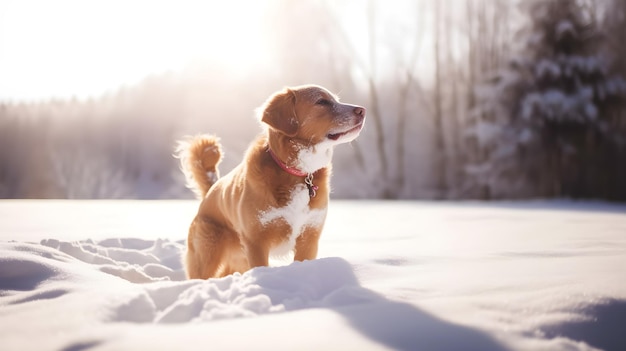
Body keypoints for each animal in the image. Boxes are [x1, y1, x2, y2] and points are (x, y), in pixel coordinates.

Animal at [176, 85, 364, 280]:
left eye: (335, 100)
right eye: (321, 101)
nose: (362, 110)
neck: (297, 171)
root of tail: (211, 190)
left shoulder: (309, 238)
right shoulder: (256, 242)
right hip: (207, 255)